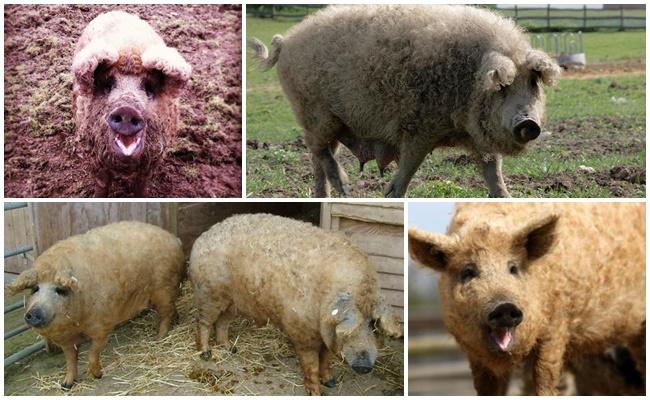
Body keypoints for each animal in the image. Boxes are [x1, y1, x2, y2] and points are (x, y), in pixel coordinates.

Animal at [5, 221, 186, 389]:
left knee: (166, 313)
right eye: (35, 289)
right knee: (171, 309)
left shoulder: (102, 326)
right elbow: (70, 360)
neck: (75, 324)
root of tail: (175, 239)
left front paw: (97, 375)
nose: (33, 313)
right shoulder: (67, 341)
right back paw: (173, 323)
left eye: (60, 290)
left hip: (163, 288)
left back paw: (159, 338)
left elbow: (93, 353)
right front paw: (66, 385)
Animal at [72, 11, 192, 197]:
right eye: (107, 86)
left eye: (149, 89)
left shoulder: (154, 159)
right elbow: (102, 183)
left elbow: (141, 185)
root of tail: (116, 11)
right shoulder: (95, 155)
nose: (127, 109)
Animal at [188, 213, 403, 395]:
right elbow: (311, 364)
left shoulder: (325, 336)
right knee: (203, 322)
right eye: (349, 328)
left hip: (232, 300)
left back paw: (229, 348)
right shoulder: (302, 332)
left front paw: (331, 382)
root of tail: (201, 239)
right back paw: (206, 353)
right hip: (209, 294)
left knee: (222, 322)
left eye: (373, 325)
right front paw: (315, 392)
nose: (363, 365)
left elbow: (325, 360)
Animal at [249, 5, 560, 197]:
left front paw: (506, 197)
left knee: (319, 158)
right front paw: (390, 193)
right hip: (312, 112)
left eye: (533, 82)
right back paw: (347, 188)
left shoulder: (477, 137)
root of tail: (286, 41)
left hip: (329, 121)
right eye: (503, 86)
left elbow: (493, 171)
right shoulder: (418, 127)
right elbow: (409, 165)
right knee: (320, 152)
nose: (529, 123)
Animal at [408, 203, 645, 395]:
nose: (504, 306)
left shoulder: (557, 323)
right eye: (468, 271)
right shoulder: (475, 354)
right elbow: (488, 389)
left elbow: (544, 376)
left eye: (513, 268)